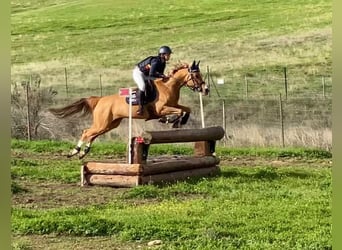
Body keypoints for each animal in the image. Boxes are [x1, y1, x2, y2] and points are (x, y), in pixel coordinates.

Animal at [48, 60, 208, 158]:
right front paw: (172, 121)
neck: (168, 86)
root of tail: (100, 99)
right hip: (103, 122)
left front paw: (178, 121)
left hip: (110, 124)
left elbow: (187, 109)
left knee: (93, 134)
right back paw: (74, 151)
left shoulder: (173, 105)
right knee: (87, 132)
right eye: (196, 75)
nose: (205, 89)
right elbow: (179, 111)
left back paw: (83, 153)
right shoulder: (161, 109)